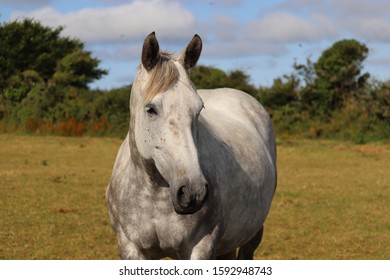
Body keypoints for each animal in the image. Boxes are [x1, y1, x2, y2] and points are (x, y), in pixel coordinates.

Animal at [106, 32, 278, 260]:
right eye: (151, 109)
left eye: (199, 109)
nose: (192, 192)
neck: (154, 196)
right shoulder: (131, 248)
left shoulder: (200, 247)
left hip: (252, 234)